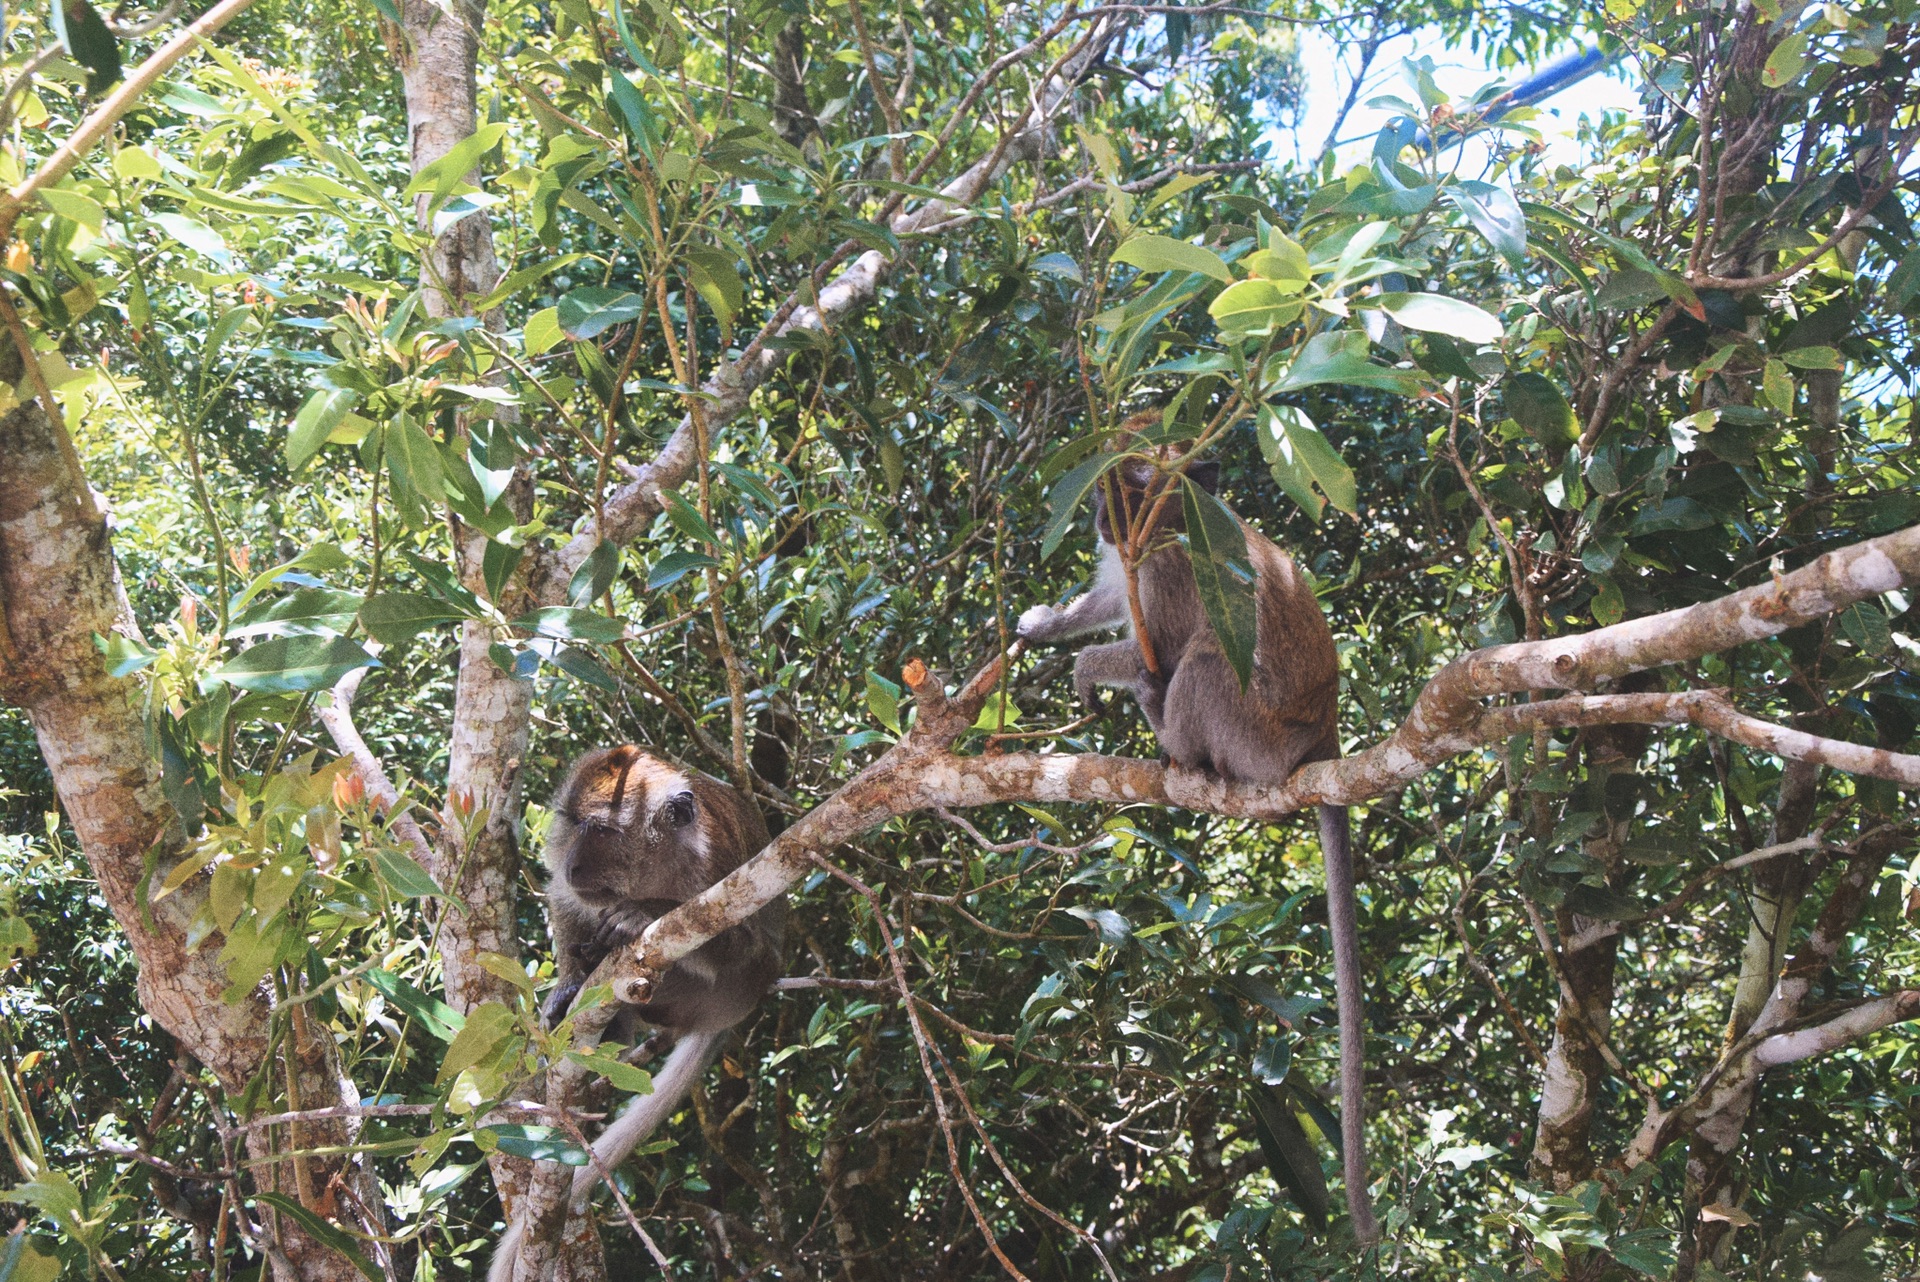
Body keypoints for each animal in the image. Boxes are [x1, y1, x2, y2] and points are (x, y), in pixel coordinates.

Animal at [495, 744, 794, 1274]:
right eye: (574, 824)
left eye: (601, 831)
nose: (572, 865)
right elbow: (564, 901)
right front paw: (567, 985)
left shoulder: (713, 865)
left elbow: (738, 942)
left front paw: (645, 912)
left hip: (733, 989)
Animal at [1021, 449, 1382, 1243]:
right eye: (1102, 496)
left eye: (1126, 497)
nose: (1102, 523)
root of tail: (1324, 735)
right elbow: (1109, 600)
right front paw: (1048, 622)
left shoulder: (1167, 567)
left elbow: (1166, 641)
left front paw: (1089, 668)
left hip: (1255, 736)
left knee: (1207, 664)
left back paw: (1170, 734)